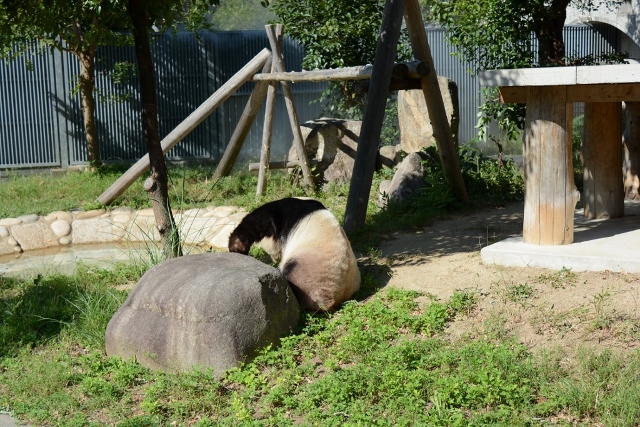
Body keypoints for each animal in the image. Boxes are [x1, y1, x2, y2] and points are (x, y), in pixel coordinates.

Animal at [229, 199, 360, 312]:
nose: (275, 259)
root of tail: (337, 298)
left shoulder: (281, 216)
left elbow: (258, 221)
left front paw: (237, 247)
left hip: (308, 270)